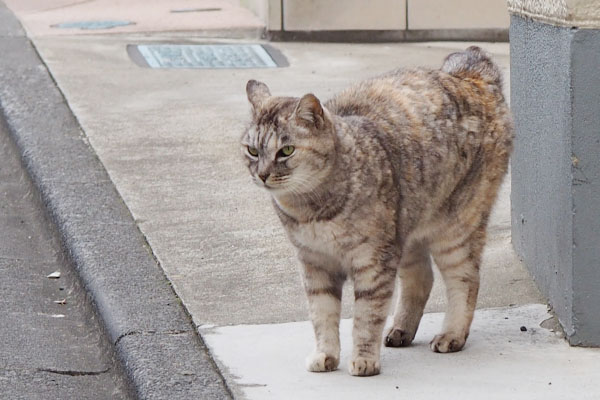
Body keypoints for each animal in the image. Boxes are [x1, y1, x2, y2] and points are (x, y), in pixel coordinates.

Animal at [241, 46, 512, 376]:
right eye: (252, 151)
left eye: (286, 151)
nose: (263, 174)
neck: (312, 211)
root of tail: (472, 75)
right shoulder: (315, 264)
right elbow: (322, 315)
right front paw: (325, 355)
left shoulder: (372, 262)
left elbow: (366, 317)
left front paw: (364, 359)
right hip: (407, 227)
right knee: (421, 279)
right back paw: (402, 330)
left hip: (455, 230)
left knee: (466, 280)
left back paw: (452, 335)